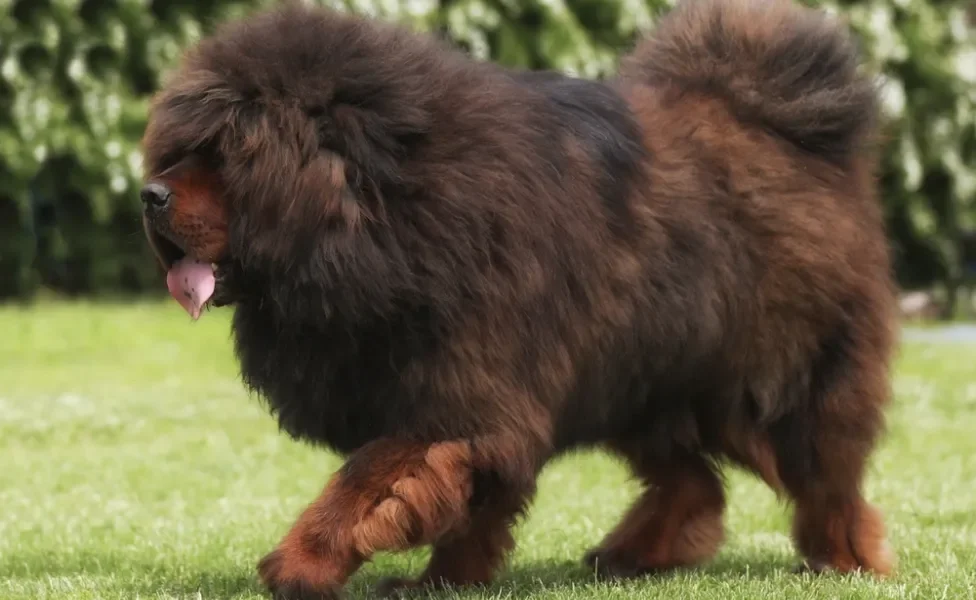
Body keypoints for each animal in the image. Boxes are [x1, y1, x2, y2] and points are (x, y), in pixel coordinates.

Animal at [141, 2, 896, 596]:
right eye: (179, 152)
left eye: (227, 154)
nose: (148, 193)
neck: (389, 218)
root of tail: (789, 131)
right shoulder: (473, 408)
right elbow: (462, 505)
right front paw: (438, 581)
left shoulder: (461, 400)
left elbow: (366, 479)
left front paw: (302, 563)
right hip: (636, 379)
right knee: (693, 482)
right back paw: (632, 555)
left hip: (778, 381)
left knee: (825, 479)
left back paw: (847, 559)